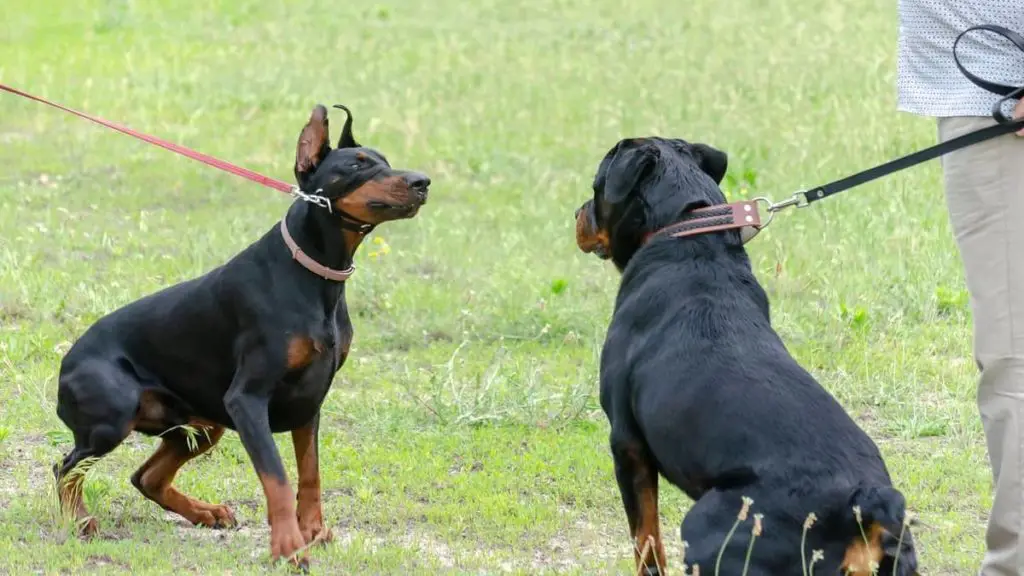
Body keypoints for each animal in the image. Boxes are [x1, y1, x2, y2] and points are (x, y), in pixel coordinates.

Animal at [52, 103, 428, 565]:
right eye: (356, 165)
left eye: (386, 161)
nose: (422, 181)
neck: (314, 274)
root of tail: (64, 365)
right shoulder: (247, 400)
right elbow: (278, 477)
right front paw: (289, 548)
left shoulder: (310, 402)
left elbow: (310, 474)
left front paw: (312, 530)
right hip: (114, 418)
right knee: (66, 466)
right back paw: (81, 521)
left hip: (202, 425)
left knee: (145, 476)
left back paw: (206, 512)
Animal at [577, 136, 921, 569]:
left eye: (596, 186)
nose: (577, 214)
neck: (687, 231)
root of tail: (866, 503)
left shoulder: (626, 442)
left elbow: (647, 541)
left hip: (708, 527)